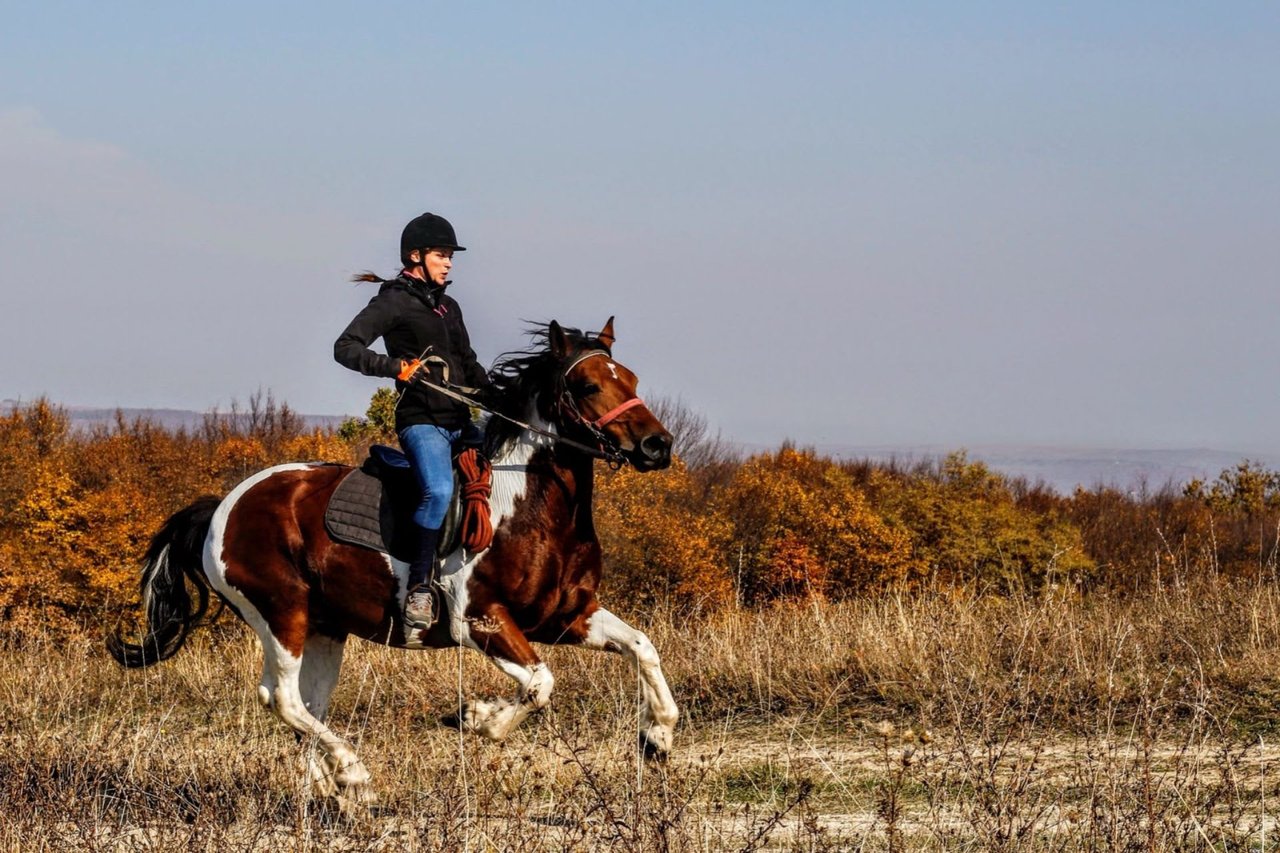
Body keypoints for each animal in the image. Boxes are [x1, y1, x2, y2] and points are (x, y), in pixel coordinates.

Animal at [107, 317, 680, 804]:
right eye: (586, 385)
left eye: (629, 378)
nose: (658, 445)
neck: (528, 504)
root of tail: (223, 506)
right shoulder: (482, 620)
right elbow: (540, 685)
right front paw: (476, 718)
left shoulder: (567, 616)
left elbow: (643, 648)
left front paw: (657, 737)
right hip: (280, 613)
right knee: (283, 698)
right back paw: (353, 774)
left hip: (325, 628)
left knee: (306, 705)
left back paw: (329, 789)